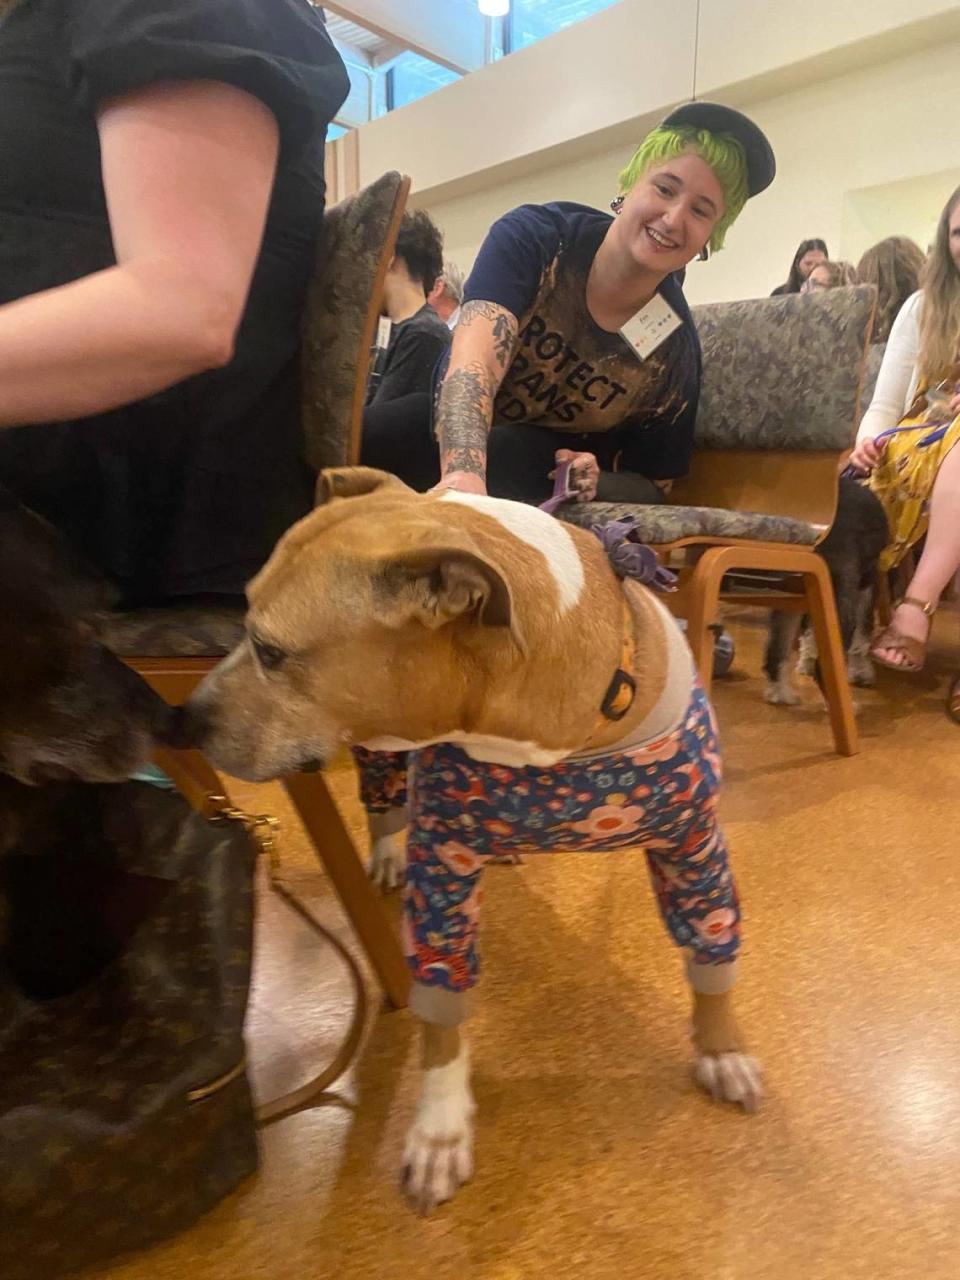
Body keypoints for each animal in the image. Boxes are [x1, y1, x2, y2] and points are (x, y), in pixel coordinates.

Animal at [192, 468, 768, 1208]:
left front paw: (721, 1048)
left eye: (270, 651)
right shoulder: (444, 863)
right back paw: (386, 849)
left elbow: (711, 947)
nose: (180, 719)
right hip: (378, 754)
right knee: (385, 800)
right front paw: (439, 1128)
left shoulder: (694, 848)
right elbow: (441, 1007)